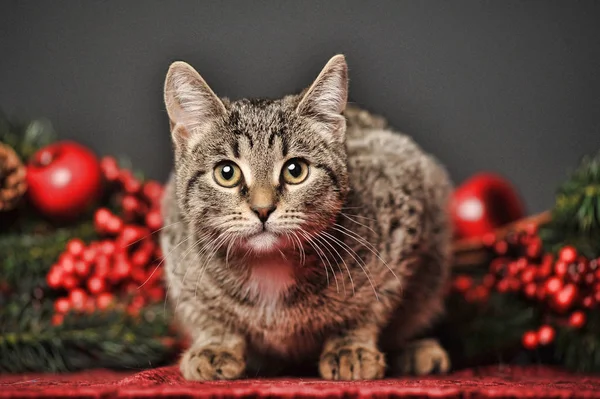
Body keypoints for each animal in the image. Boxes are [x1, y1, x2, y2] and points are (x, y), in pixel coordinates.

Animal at [162, 55, 452, 382]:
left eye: (295, 170)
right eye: (226, 172)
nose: (263, 209)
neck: (269, 264)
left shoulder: (401, 224)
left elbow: (372, 304)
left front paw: (350, 345)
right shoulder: (178, 252)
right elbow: (204, 312)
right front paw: (216, 344)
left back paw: (416, 351)